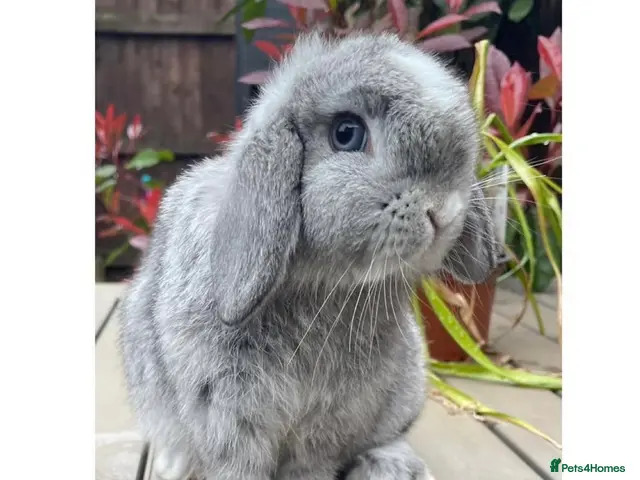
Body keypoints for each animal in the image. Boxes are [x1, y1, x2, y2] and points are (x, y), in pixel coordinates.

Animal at [118, 30, 497, 480]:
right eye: (347, 133)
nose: (443, 211)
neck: (321, 285)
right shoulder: (226, 412)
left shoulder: (328, 426)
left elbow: (312, 466)